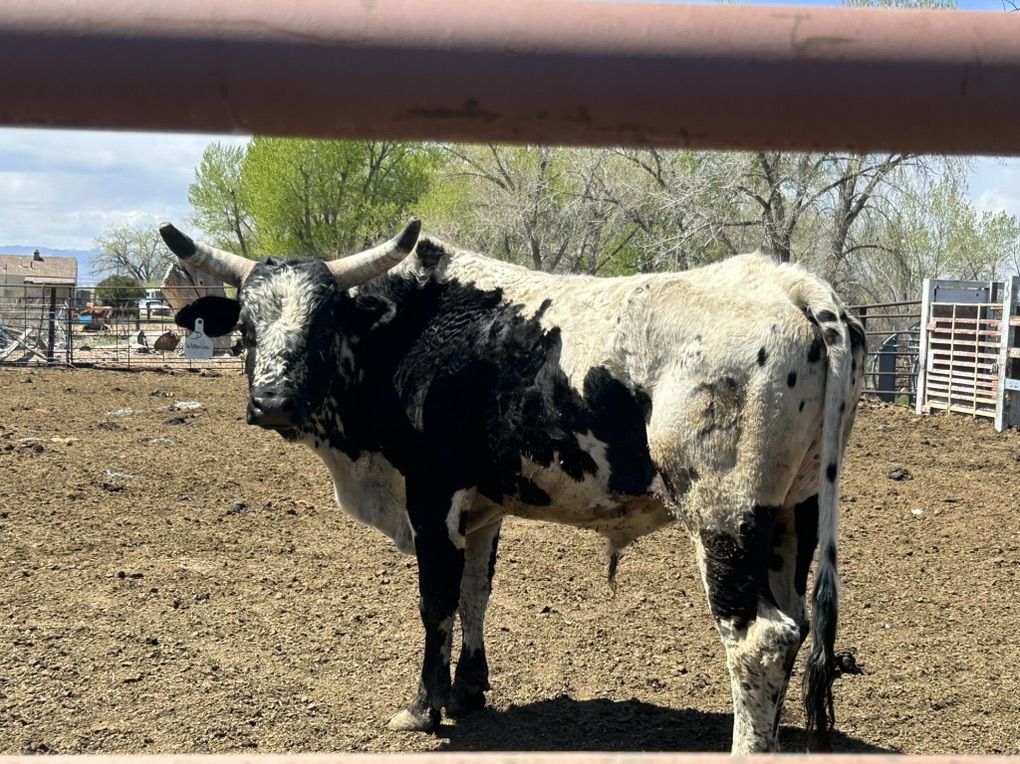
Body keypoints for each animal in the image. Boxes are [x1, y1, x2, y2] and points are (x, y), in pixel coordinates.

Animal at [159, 219, 866, 754]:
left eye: (323, 323)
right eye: (246, 327)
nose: (272, 402)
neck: (405, 338)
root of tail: (793, 284)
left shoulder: (432, 502)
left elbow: (437, 604)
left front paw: (425, 706)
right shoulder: (482, 509)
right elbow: (476, 593)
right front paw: (469, 688)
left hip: (723, 518)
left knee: (758, 639)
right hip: (793, 514)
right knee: (797, 626)